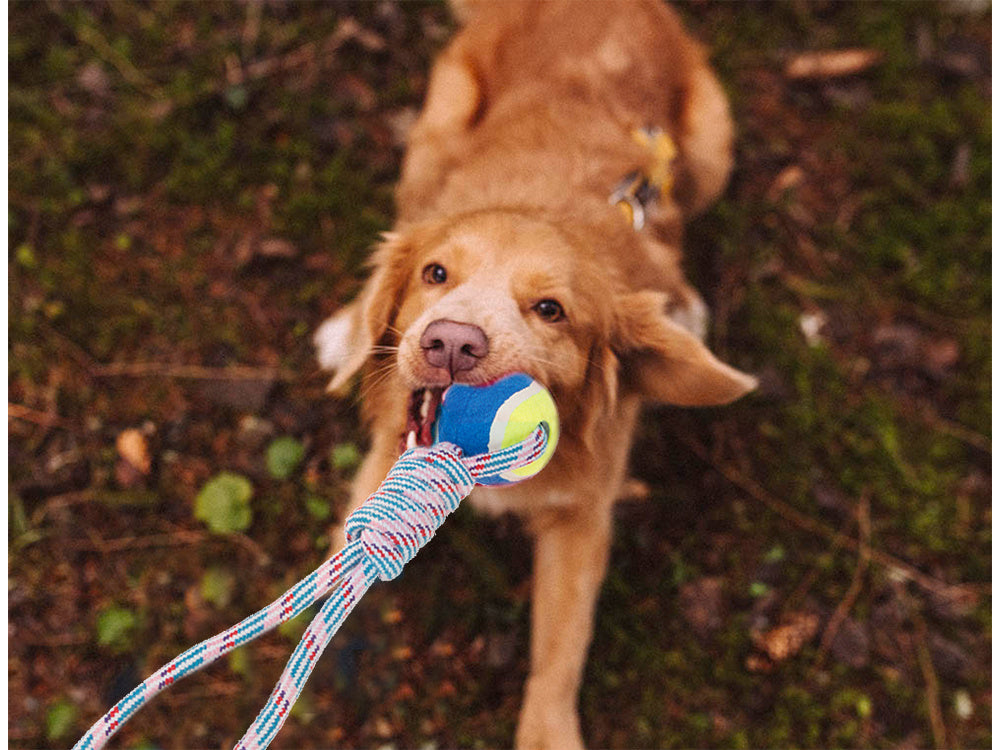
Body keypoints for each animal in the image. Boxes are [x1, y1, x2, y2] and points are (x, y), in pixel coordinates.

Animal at [316, 2, 752, 748]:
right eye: (435, 273)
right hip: (436, 129)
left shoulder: (581, 517)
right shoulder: (387, 457)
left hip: (710, 147)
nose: (451, 344)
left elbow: (560, 645)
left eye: (551, 310)